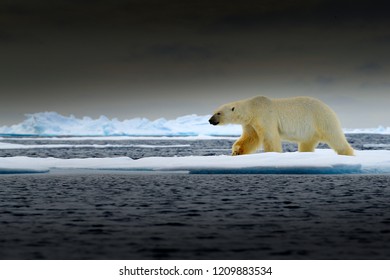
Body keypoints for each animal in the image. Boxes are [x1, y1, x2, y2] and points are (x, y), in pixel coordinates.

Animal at [209, 96, 354, 156]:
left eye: (218, 113)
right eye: (214, 111)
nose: (210, 120)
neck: (252, 108)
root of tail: (328, 107)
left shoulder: (264, 116)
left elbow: (270, 137)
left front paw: (272, 153)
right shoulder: (250, 123)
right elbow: (250, 138)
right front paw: (237, 151)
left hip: (321, 118)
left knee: (335, 137)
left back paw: (347, 153)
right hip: (311, 130)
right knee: (306, 143)